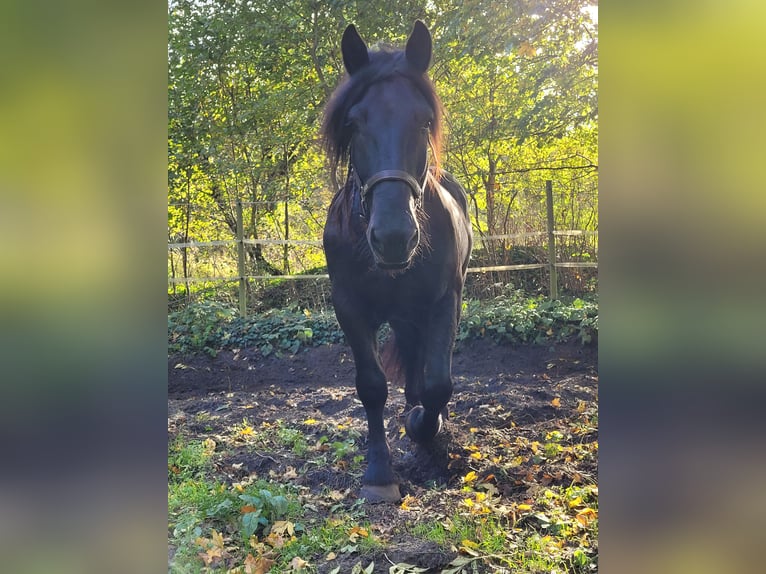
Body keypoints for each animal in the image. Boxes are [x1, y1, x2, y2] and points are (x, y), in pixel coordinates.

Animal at [321, 21, 472, 503]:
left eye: (423, 122)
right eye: (353, 123)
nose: (393, 238)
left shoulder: (446, 301)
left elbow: (439, 384)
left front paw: (425, 427)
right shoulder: (349, 306)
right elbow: (371, 386)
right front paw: (379, 474)